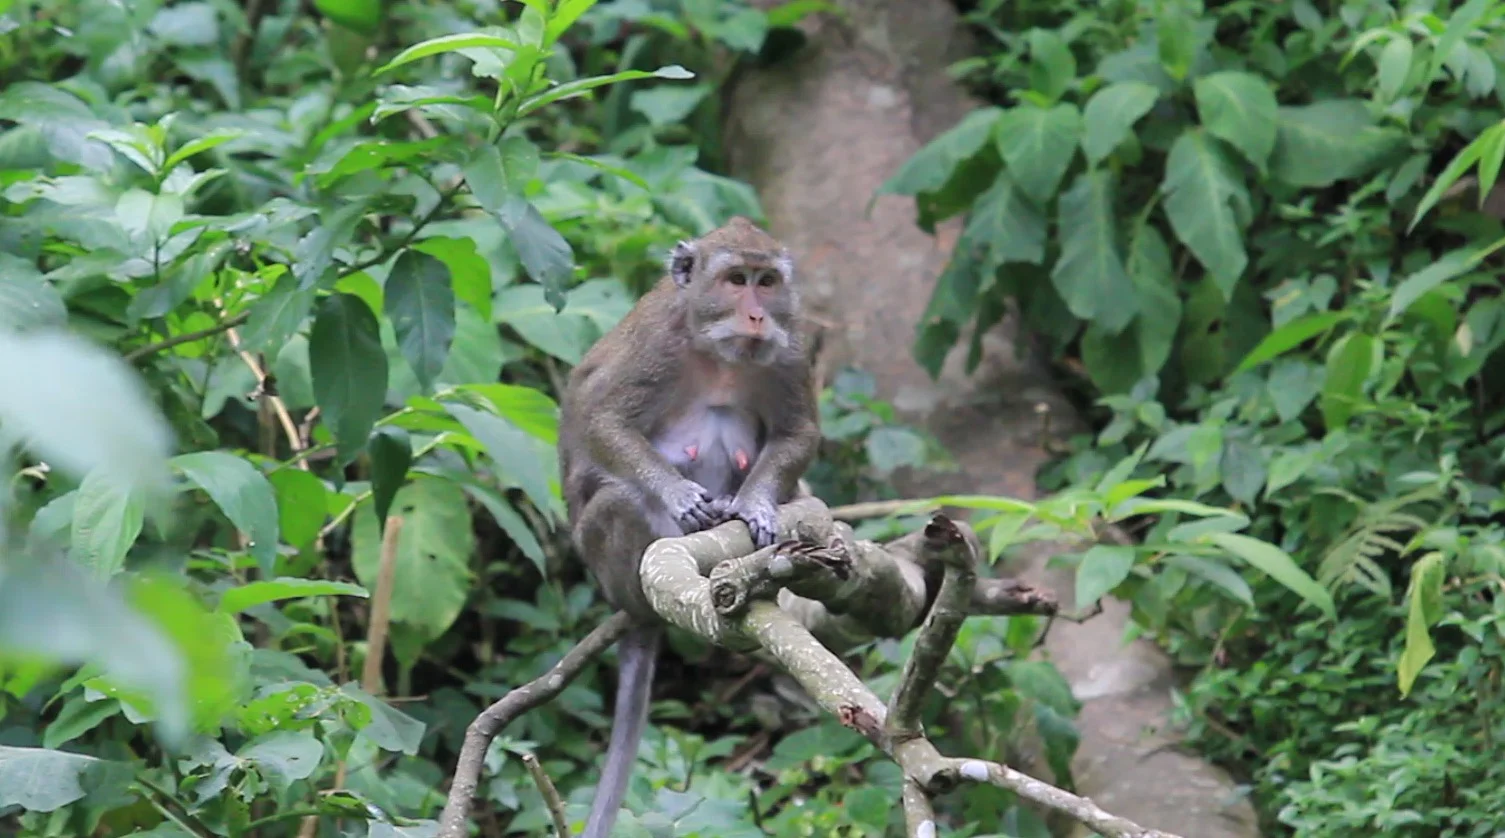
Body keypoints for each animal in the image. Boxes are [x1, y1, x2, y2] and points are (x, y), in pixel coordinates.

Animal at [557, 216, 821, 837]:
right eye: (735, 280)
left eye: (767, 282)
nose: (756, 315)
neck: (721, 355)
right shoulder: (657, 344)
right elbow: (603, 419)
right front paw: (680, 495)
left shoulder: (791, 347)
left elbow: (798, 433)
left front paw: (757, 507)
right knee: (618, 505)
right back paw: (644, 600)